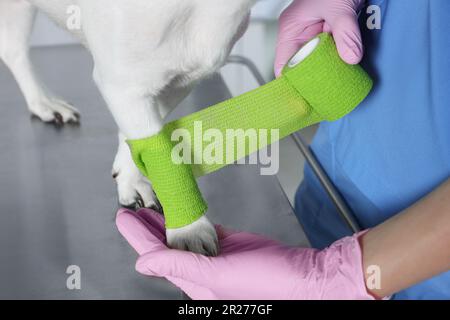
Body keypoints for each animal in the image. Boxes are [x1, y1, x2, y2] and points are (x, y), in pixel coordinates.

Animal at [0, 0, 256, 255]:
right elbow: (161, 151)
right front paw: (189, 228)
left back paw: (42, 102)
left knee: (13, 50)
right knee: (14, 49)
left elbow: (141, 137)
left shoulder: (178, 80)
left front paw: (128, 175)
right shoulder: (123, 84)